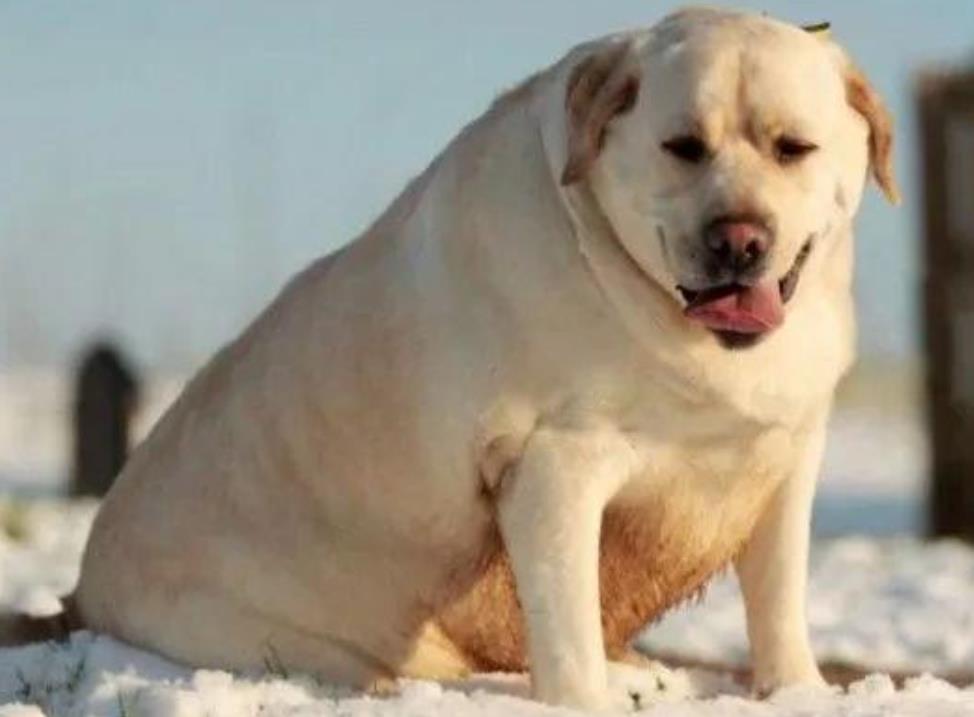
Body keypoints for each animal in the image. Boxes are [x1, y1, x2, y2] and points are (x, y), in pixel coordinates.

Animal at [3, 5, 900, 712]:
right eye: (683, 146)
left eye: (792, 148)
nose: (738, 240)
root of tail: (80, 594)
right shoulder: (555, 465)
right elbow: (567, 624)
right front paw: (587, 697)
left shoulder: (787, 455)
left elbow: (778, 598)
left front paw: (799, 690)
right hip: (311, 639)